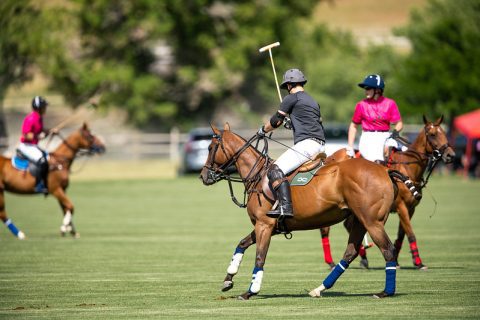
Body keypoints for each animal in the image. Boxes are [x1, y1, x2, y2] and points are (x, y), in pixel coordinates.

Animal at [199, 123, 398, 300]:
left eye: (210, 147)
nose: (203, 176)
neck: (257, 175)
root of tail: (385, 171)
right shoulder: (268, 226)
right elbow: (242, 243)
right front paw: (228, 280)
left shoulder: (264, 225)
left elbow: (259, 257)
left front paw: (250, 291)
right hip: (359, 220)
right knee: (350, 253)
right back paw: (319, 289)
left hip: (372, 221)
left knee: (387, 249)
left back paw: (385, 292)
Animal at [318, 115, 454, 270]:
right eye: (432, 134)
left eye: (444, 133)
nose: (451, 155)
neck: (408, 167)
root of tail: (329, 157)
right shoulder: (401, 206)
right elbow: (411, 234)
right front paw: (418, 263)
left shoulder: (410, 208)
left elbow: (401, 235)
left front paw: (396, 261)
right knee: (325, 229)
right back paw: (331, 262)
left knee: (348, 225)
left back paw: (363, 258)